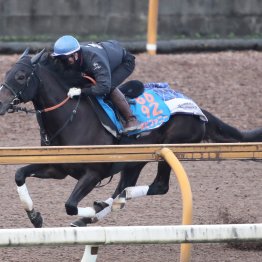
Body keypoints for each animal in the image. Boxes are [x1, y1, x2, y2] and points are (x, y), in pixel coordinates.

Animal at [0, 50, 262, 228]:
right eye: (7, 73)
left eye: (21, 76)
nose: (2, 104)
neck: (72, 119)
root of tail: (198, 110)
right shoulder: (57, 167)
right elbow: (19, 174)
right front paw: (35, 216)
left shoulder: (93, 173)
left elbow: (70, 206)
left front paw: (87, 211)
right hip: (134, 161)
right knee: (124, 187)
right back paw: (102, 208)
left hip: (166, 150)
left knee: (156, 187)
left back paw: (102, 208)